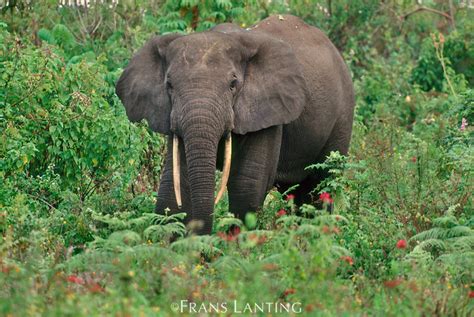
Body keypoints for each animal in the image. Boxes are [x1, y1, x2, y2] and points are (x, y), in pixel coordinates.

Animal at [116, 14, 354, 235]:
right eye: (169, 85)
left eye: (233, 84)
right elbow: (173, 184)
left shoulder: (268, 111)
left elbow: (246, 185)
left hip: (343, 116)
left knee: (322, 185)